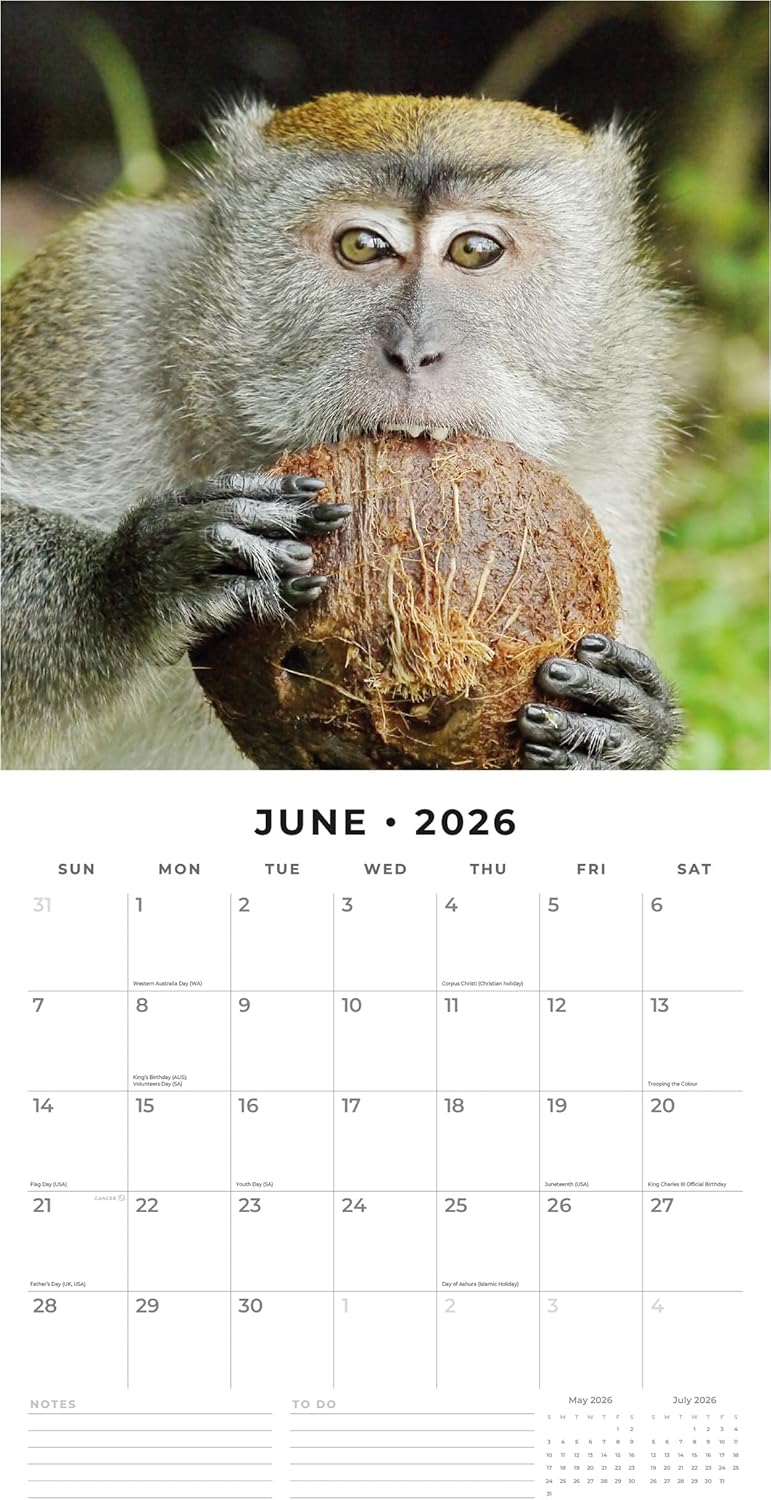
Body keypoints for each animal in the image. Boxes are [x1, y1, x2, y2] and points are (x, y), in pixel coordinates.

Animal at [1, 91, 684, 770]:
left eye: (475, 250)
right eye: (362, 245)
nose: (414, 350)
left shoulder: (621, 434)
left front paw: (622, 728)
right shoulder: (101, 296)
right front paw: (136, 579)